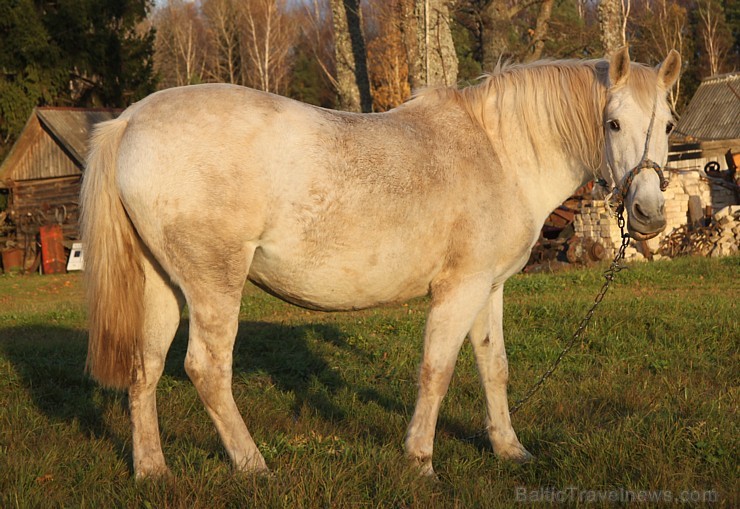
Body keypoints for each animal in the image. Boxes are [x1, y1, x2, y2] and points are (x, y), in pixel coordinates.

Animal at [81, 46, 684, 476]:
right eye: (612, 123)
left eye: (669, 125)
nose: (649, 212)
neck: (497, 151)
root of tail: (130, 119)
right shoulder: (459, 290)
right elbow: (437, 371)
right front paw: (420, 461)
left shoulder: (489, 289)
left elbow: (494, 368)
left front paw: (510, 450)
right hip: (214, 284)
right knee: (206, 370)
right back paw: (254, 466)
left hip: (161, 284)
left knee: (145, 367)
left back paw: (153, 471)